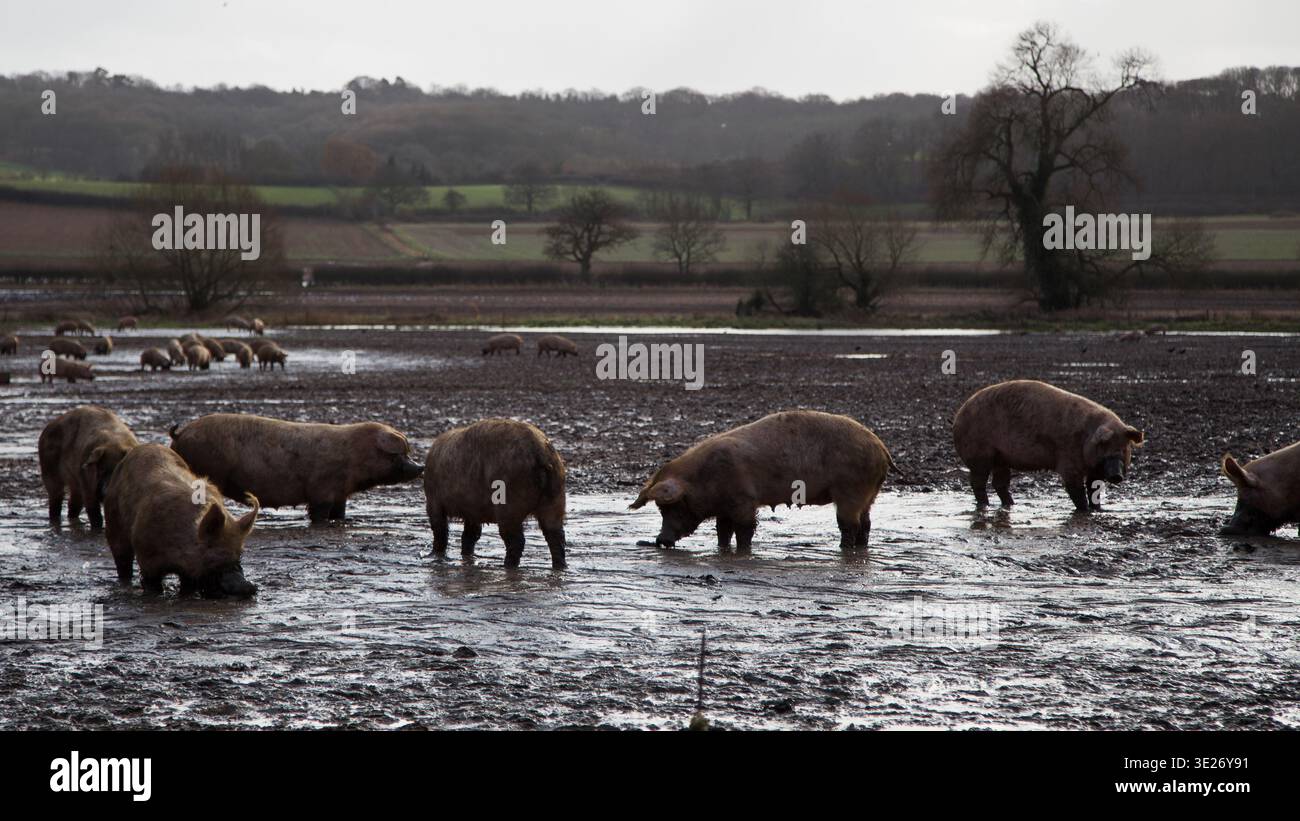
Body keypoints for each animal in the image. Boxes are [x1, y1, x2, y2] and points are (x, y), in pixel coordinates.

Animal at [103, 444, 259, 597]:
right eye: (211, 548)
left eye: (239, 554)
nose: (247, 586)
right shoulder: (147, 558)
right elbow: (151, 583)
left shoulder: (188, 573)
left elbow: (187, 587)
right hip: (113, 521)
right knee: (122, 561)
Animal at [169, 413, 424, 522]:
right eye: (398, 454)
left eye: (407, 452)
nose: (420, 466)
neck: (356, 455)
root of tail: (180, 433)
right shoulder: (321, 491)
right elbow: (319, 513)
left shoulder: (341, 494)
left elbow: (340, 513)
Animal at [424, 419, 567, 569]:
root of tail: (540, 452)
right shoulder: (473, 508)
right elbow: (471, 533)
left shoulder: (434, 499)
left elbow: (440, 528)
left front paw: (435, 555)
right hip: (556, 494)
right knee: (555, 534)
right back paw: (560, 566)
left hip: (509, 498)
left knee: (515, 539)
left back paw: (507, 565)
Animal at [630, 410, 898, 551]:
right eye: (660, 509)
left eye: (672, 507)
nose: (661, 540)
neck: (703, 478)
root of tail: (882, 448)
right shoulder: (725, 508)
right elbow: (722, 531)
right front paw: (723, 551)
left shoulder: (744, 501)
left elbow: (744, 530)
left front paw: (743, 551)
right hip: (870, 494)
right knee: (866, 524)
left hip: (851, 490)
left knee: (849, 525)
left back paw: (844, 549)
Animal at [953, 380, 1144, 512]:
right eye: (1105, 445)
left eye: (1124, 448)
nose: (1117, 476)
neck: (1085, 439)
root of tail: (958, 415)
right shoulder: (1068, 460)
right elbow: (1076, 488)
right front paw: (1084, 510)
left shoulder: (1095, 469)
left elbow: (1094, 489)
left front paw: (1098, 509)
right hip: (980, 454)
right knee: (978, 482)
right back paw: (985, 506)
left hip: (1001, 458)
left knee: (1000, 483)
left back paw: (1011, 505)